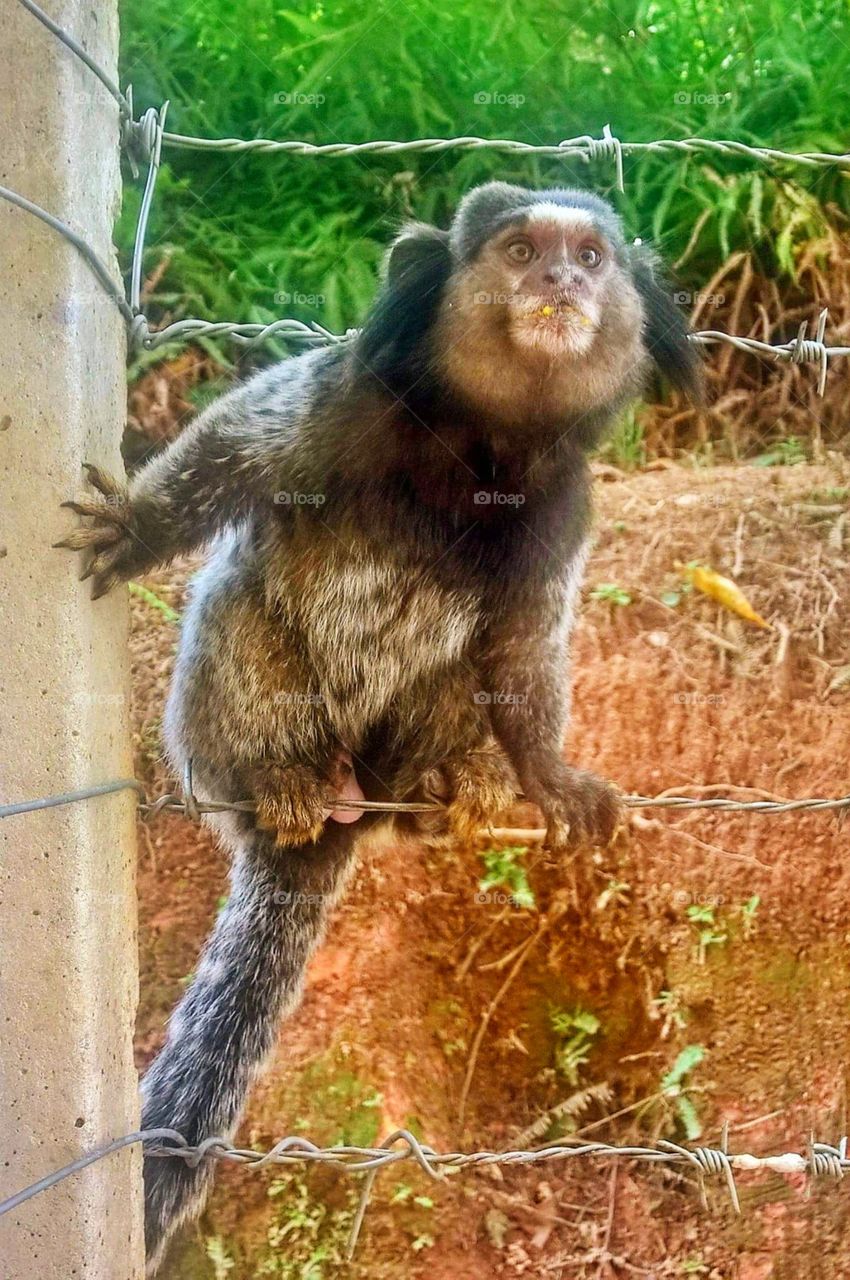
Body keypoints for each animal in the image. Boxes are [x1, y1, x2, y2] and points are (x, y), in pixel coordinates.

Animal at [57, 182, 700, 1270]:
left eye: (591, 258)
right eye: (519, 250)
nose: (558, 281)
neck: (483, 441)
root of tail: (346, 803)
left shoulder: (565, 506)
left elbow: (522, 652)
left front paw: (547, 772)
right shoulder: (341, 399)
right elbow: (232, 453)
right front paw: (138, 525)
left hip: (397, 751)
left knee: (454, 676)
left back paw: (448, 793)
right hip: (211, 742)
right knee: (241, 606)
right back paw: (284, 780)